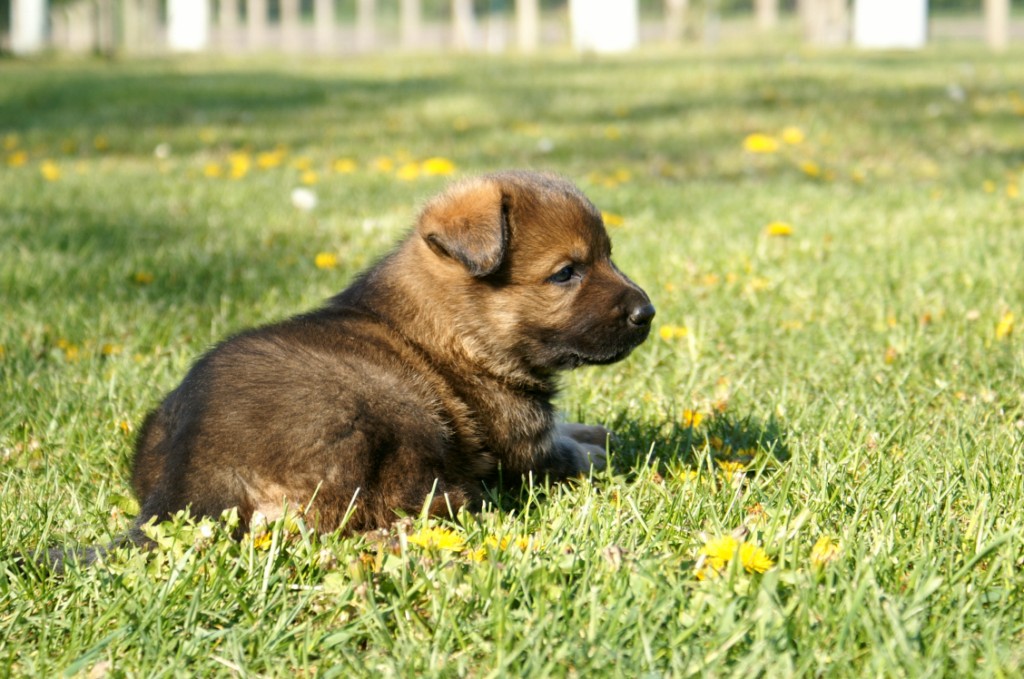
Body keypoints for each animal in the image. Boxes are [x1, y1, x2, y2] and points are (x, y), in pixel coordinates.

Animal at [56, 170, 651, 561]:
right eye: (566, 273)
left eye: (609, 255)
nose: (648, 312)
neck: (450, 326)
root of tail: (190, 481)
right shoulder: (527, 441)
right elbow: (571, 452)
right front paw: (609, 453)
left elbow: (576, 428)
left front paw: (604, 431)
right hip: (397, 413)